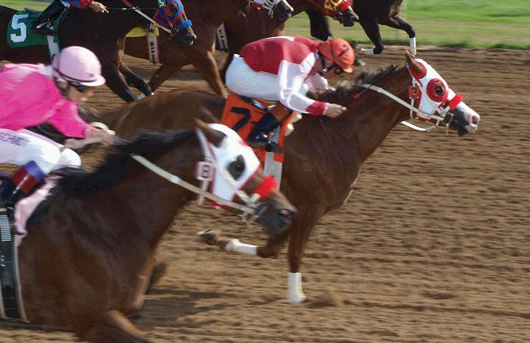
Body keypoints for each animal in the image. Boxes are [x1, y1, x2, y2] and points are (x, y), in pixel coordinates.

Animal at [0, 0, 195, 102]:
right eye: (172, 8)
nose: (191, 36)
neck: (101, 25)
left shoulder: (116, 62)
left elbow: (142, 84)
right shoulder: (107, 71)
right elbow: (130, 97)